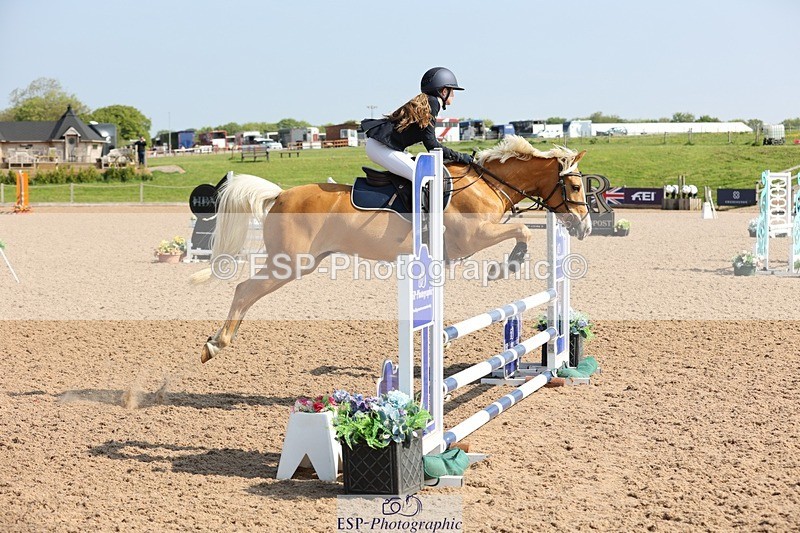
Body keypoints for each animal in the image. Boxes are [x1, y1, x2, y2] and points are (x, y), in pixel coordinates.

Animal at [191, 135, 591, 363]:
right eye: (574, 188)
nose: (584, 227)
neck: (487, 183)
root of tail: (279, 194)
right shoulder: (475, 236)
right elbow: (522, 231)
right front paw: (507, 266)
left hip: (303, 262)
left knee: (247, 291)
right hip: (289, 263)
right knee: (244, 289)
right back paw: (216, 344)